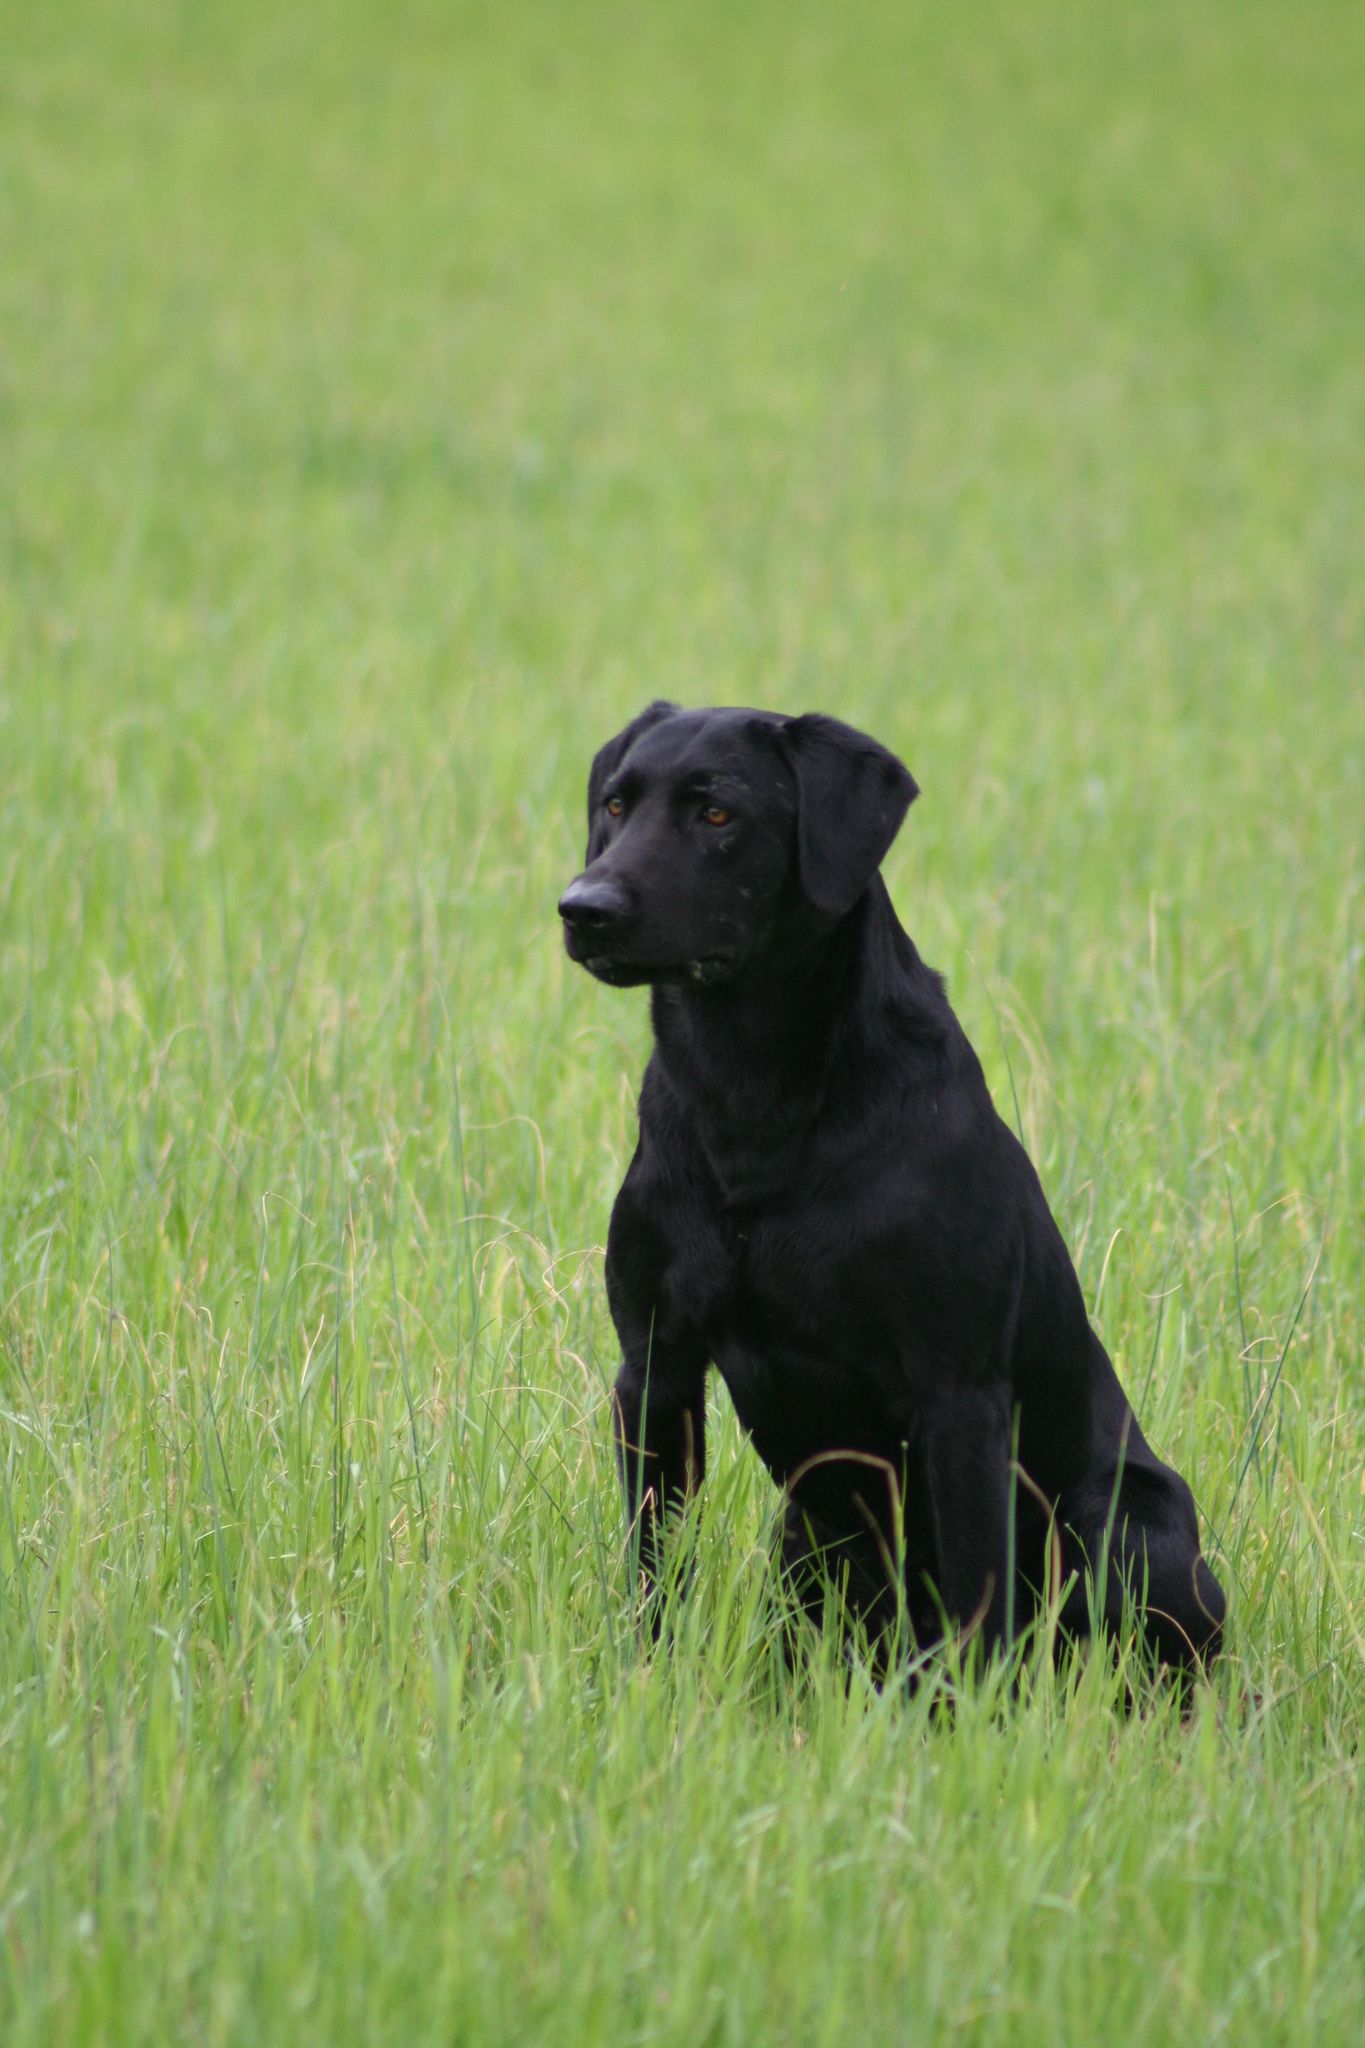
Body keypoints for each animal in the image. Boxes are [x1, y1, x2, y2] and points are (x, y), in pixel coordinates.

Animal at [560, 712, 1219, 1671]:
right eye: (615, 803)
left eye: (718, 814)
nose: (583, 907)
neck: (751, 1100)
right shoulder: (655, 1369)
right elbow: (656, 1561)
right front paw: (650, 1672)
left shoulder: (958, 1397)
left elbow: (976, 1599)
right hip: (803, 1531)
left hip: (1128, 1520)